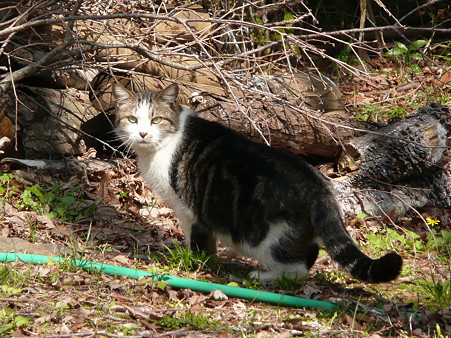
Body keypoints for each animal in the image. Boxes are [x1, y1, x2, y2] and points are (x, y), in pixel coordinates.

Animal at [112, 83, 402, 284]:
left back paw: (262, 276)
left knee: (297, 270)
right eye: (132, 120)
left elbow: (197, 240)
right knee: (308, 256)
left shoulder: (189, 211)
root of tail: (321, 189)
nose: (143, 133)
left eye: (156, 120)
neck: (163, 144)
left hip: (269, 236)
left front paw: (193, 260)